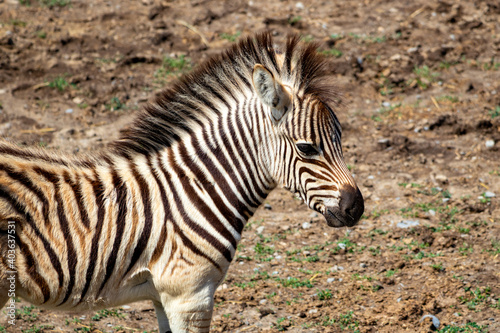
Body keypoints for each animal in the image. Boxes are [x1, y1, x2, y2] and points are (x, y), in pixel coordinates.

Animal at [0, 33, 364, 332]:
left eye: (341, 139)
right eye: (307, 148)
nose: (356, 208)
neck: (193, 190)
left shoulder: (164, 296)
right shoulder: (189, 295)